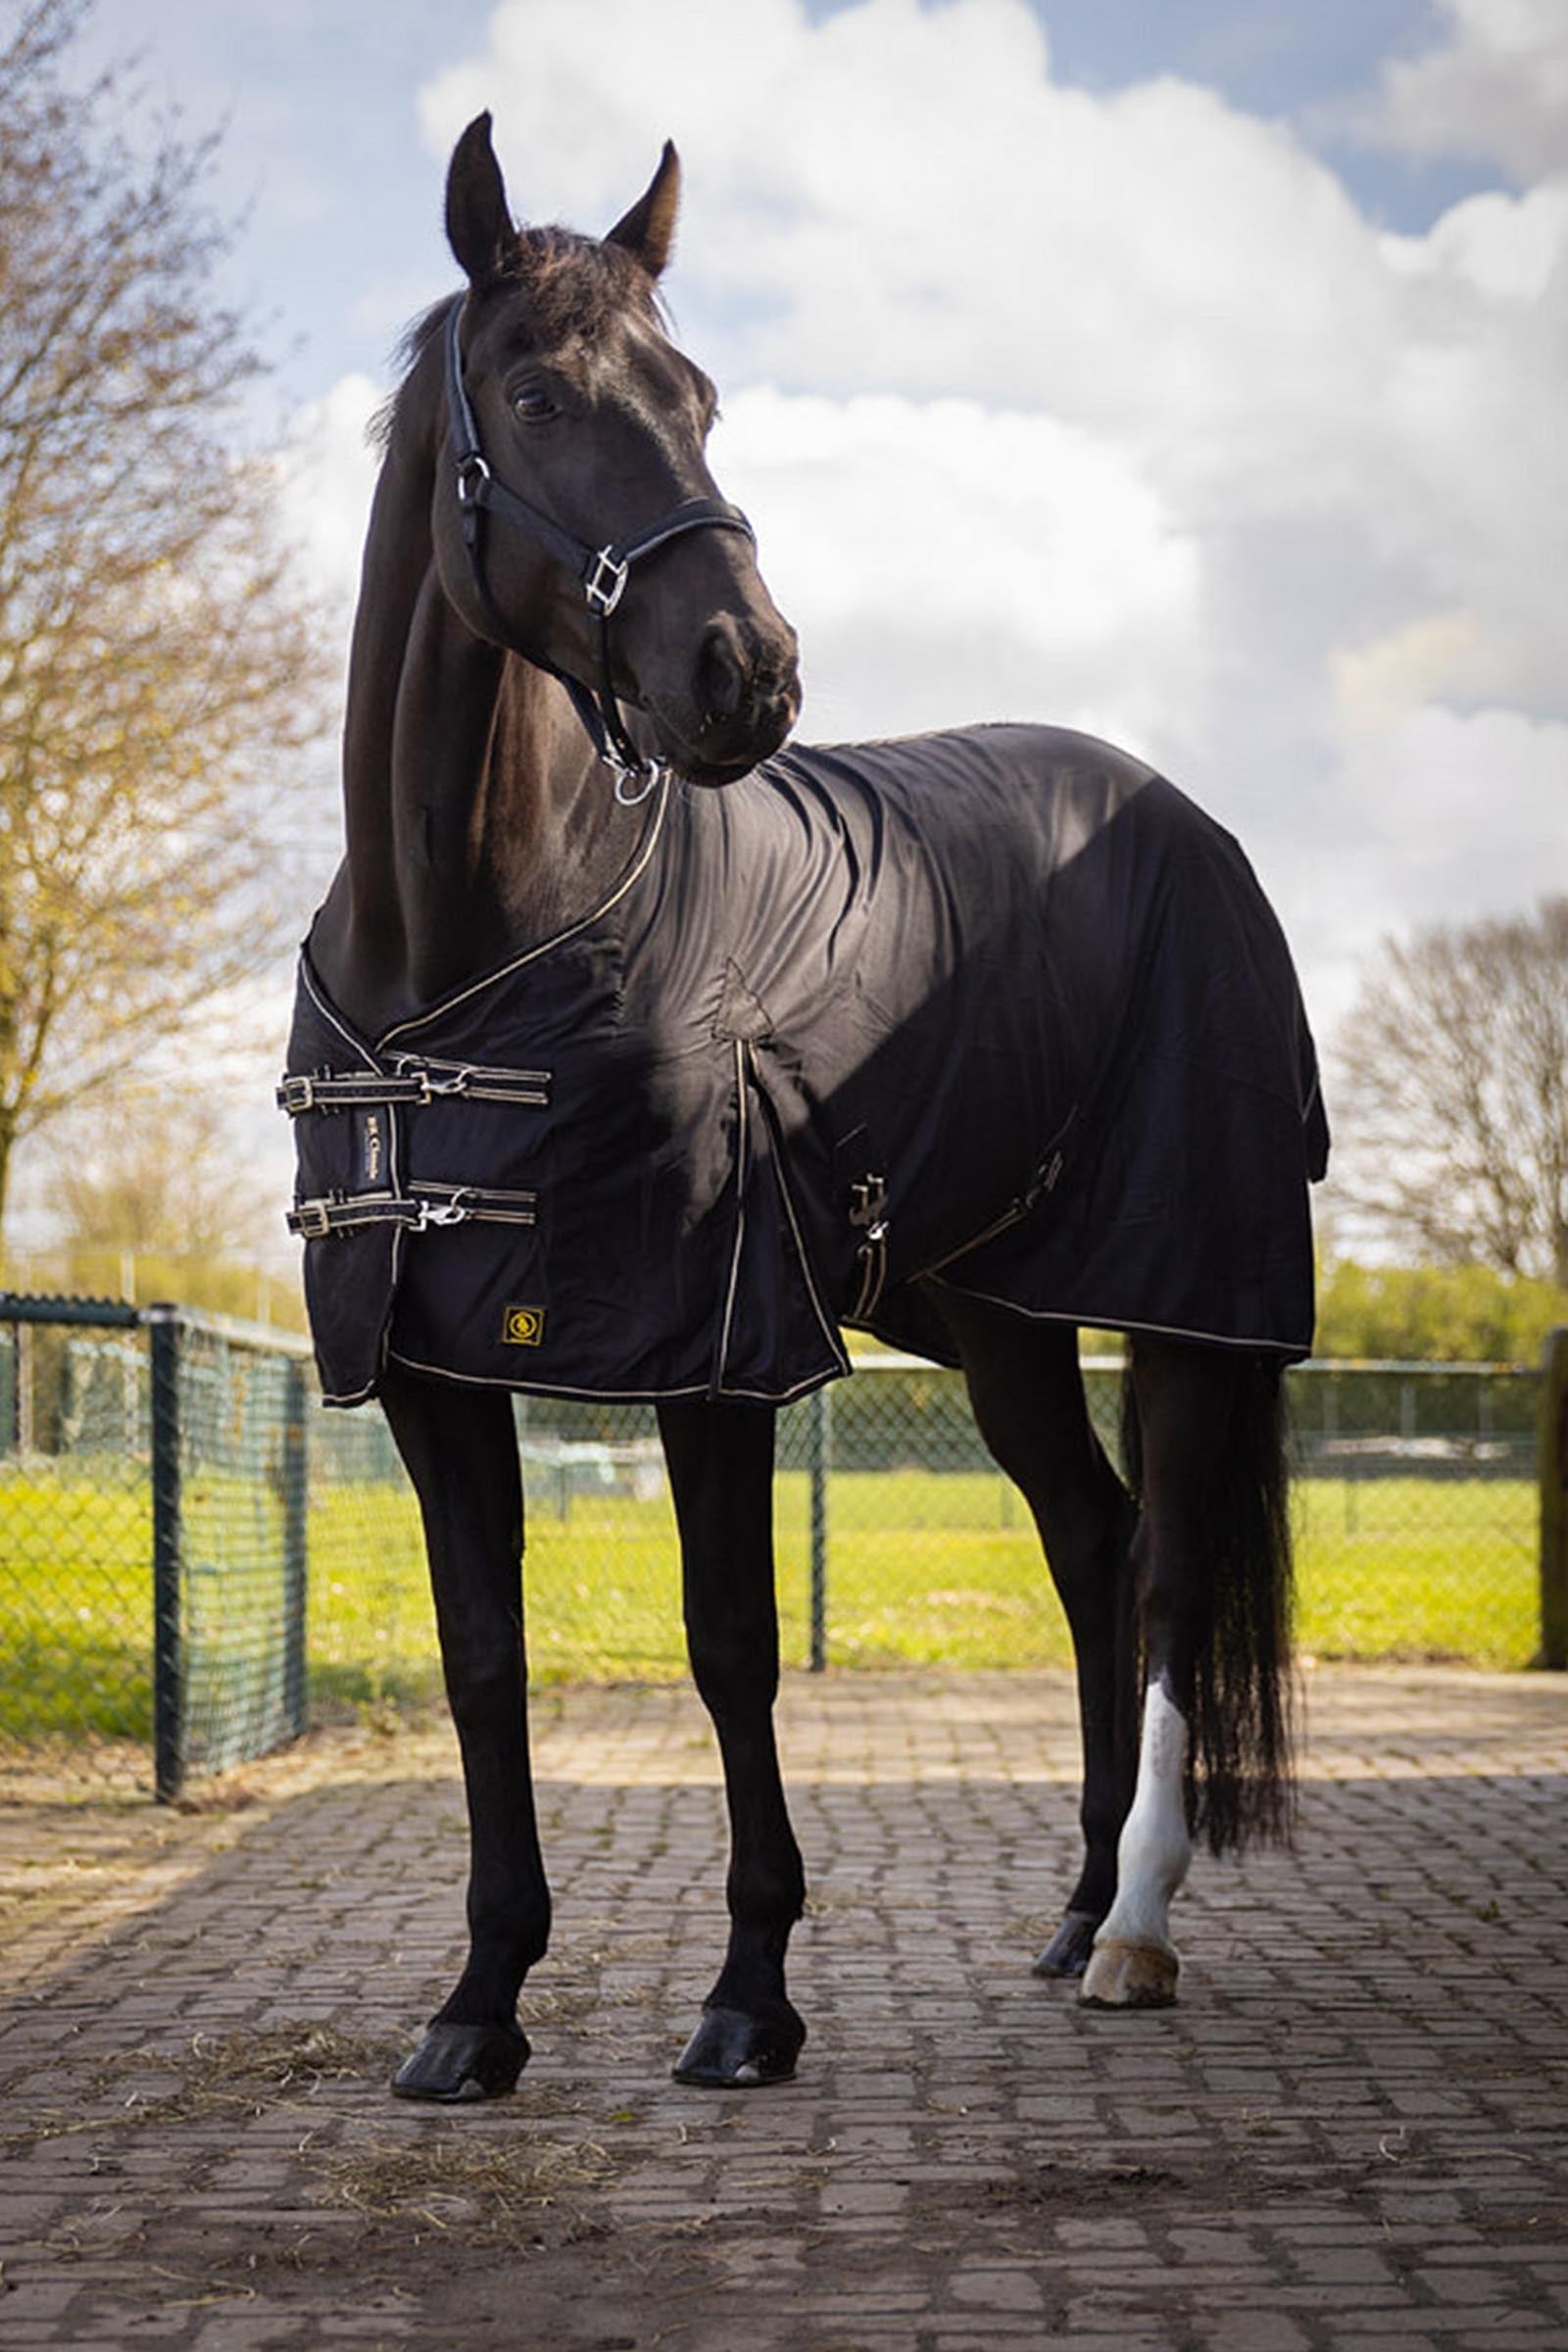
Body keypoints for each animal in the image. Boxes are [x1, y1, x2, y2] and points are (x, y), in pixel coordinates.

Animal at [283, 113, 1328, 2103]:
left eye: (697, 396)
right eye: (536, 394)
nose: (745, 673)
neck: (469, 949)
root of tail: (1184, 816)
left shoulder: (716, 1349)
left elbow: (732, 1649)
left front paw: (750, 1997)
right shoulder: (431, 1362)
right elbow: (480, 1662)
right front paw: (479, 2006)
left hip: (1186, 1301)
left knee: (1162, 1578)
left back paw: (1136, 1932)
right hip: (1000, 1317)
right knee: (1091, 1547)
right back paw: (1077, 1905)